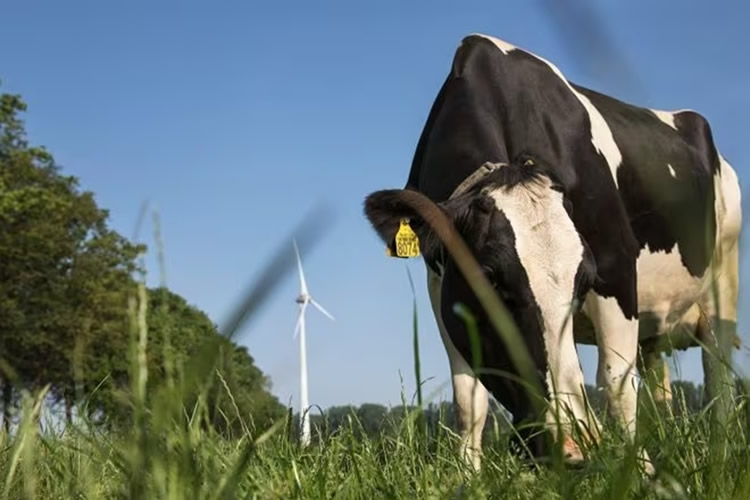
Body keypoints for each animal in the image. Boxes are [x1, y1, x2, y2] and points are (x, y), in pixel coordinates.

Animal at [362, 33, 741, 474]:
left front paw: (636, 472)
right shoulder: (441, 285)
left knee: (718, 381)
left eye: (584, 279)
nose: (572, 448)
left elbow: (615, 383)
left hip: (723, 283)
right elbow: (468, 400)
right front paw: (468, 476)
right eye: (490, 278)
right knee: (658, 387)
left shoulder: (616, 267)